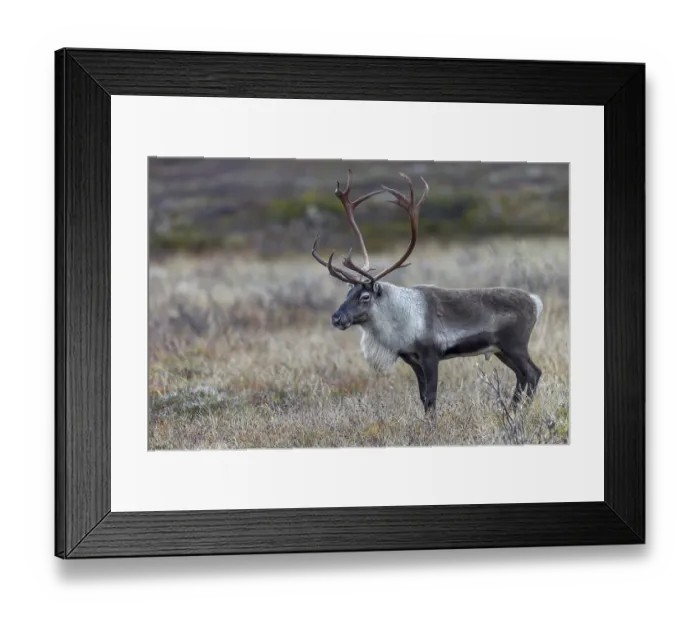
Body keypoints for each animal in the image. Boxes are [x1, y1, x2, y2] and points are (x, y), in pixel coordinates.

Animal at [311, 169, 544, 420]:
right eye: (348, 292)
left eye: (365, 296)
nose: (336, 318)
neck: (400, 318)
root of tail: (535, 301)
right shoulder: (412, 360)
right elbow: (423, 398)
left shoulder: (431, 355)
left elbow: (431, 398)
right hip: (501, 350)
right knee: (522, 376)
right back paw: (510, 412)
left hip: (515, 345)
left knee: (533, 373)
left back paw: (517, 413)